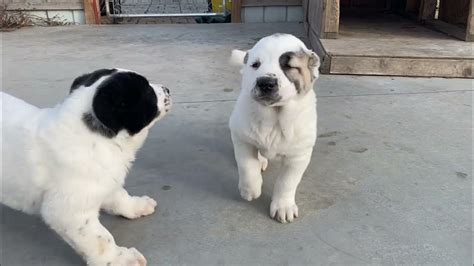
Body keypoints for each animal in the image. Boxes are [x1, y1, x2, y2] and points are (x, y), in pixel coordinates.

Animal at [0, 69, 171, 266]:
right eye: (148, 92)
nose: (167, 90)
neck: (94, 138)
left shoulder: (104, 179)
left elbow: (119, 195)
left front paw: (136, 205)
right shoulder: (69, 213)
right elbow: (101, 239)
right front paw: (120, 259)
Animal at [229, 33, 320, 224]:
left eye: (289, 66)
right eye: (255, 65)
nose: (265, 82)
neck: (275, 117)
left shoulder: (299, 155)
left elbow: (287, 181)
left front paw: (283, 206)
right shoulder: (241, 137)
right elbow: (246, 165)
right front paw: (250, 190)